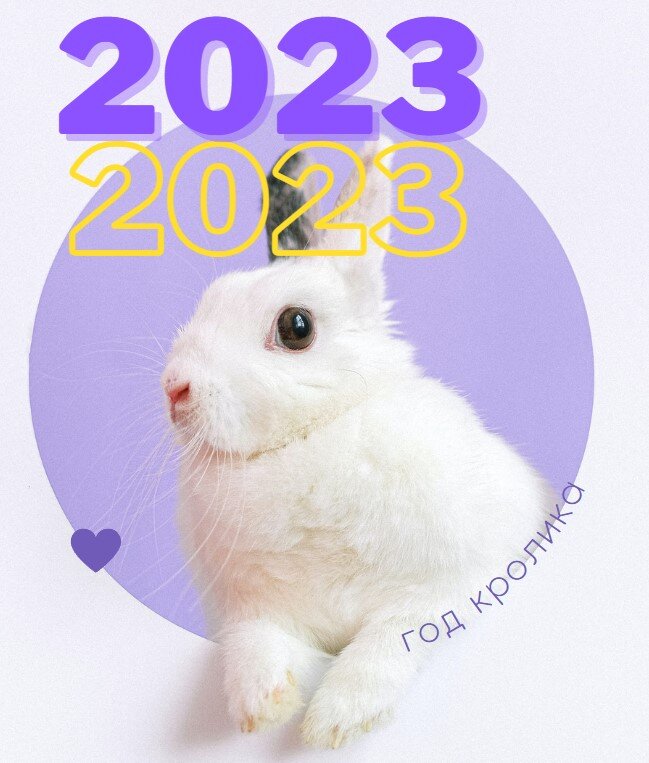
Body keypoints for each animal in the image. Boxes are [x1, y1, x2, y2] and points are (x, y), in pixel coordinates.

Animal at [161, 138, 552, 748]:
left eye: (296, 326)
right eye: (212, 297)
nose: (174, 388)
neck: (309, 439)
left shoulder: (448, 584)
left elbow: (388, 642)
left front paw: (333, 721)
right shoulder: (251, 608)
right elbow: (255, 645)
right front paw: (260, 707)